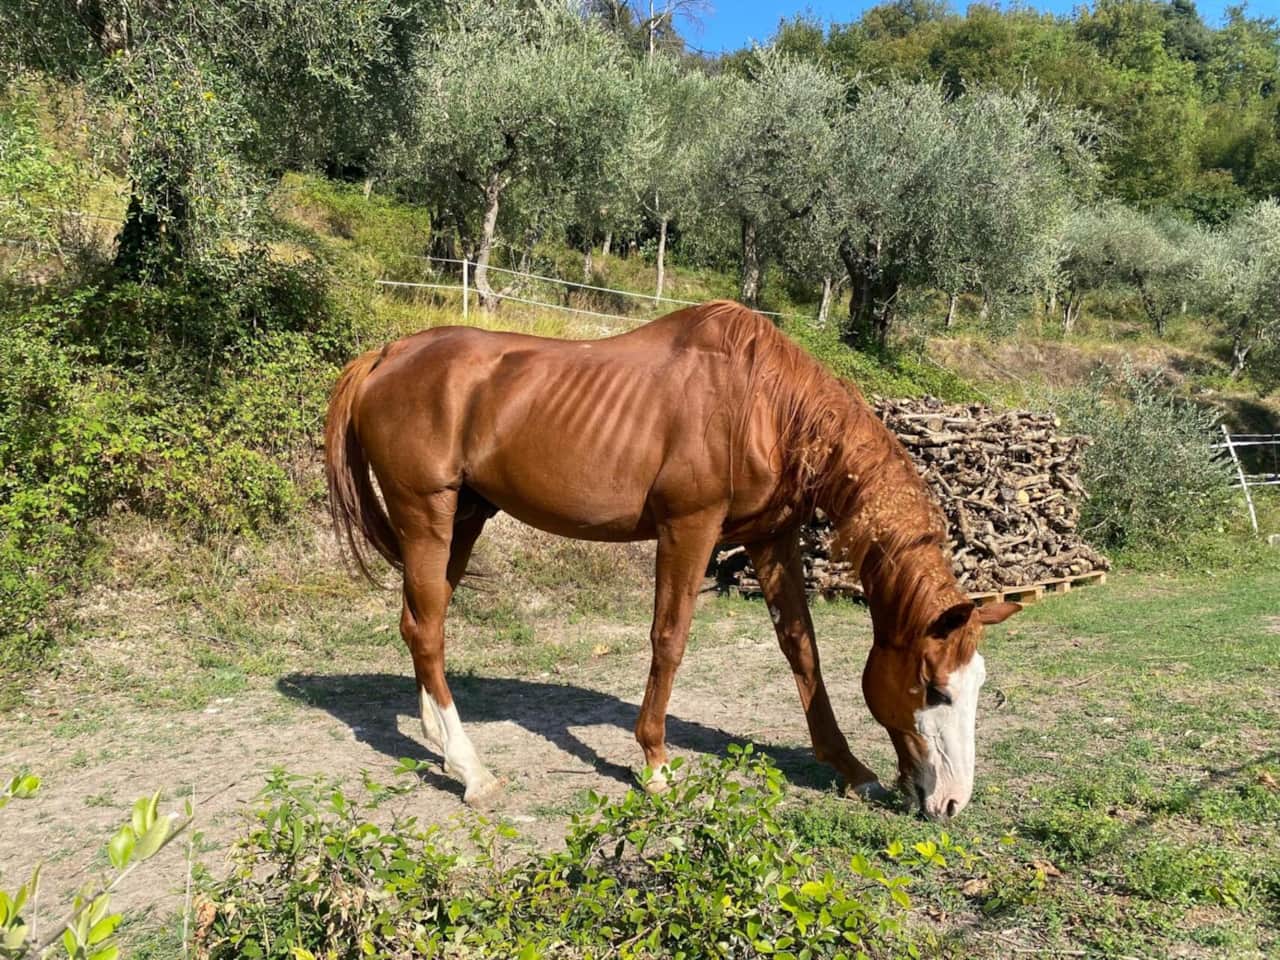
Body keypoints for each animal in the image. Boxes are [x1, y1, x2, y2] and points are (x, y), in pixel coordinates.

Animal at [324, 300, 1019, 819]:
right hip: (427, 516)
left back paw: (441, 744)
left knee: (423, 623)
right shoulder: (689, 529)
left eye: (977, 687)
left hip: (465, 517)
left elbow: (802, 649)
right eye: (933, 688)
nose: (952, 803)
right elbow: (670, 638)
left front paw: (849, 768)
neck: (763, 406)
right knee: (426, 629)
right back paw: (472, 771)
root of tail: (386, 356)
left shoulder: (772, 538)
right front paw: (656, 763)